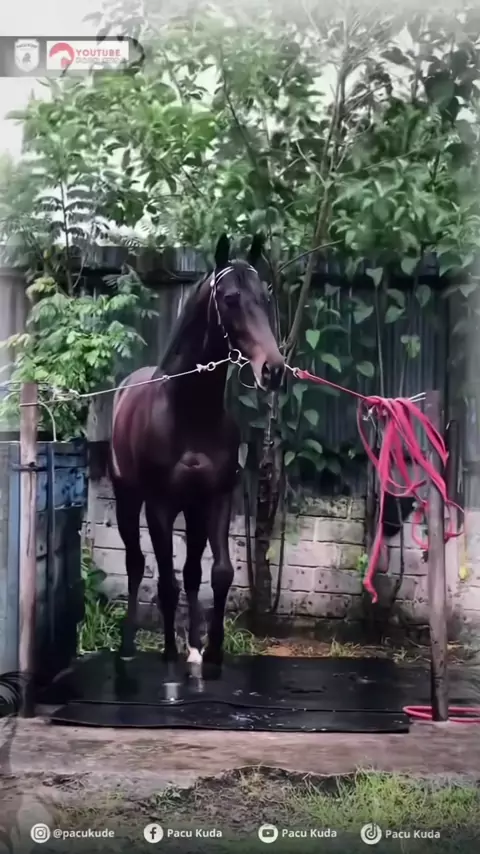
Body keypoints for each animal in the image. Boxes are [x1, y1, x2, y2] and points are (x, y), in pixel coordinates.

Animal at [109, 233, 285, 671]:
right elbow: (166, 581)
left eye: (265, 296)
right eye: (230, 297)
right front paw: (169, 652)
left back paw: (192, 645)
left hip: (193, 512)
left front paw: (213, 650)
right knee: (136, 564)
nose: (273, 369)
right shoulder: (159, 506)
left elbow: (217, 573)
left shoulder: (215, 499)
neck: (190, 411)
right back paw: (129, 645)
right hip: (128, 500)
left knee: (190, 571)